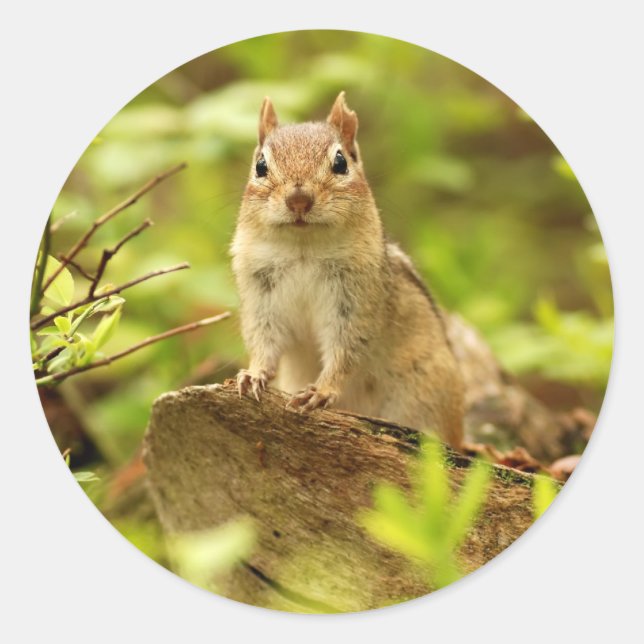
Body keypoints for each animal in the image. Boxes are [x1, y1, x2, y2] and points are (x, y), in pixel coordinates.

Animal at [231, 92, 464, 449]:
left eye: (340, 162)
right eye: (260, 166)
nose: (299, 199)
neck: (304, 250)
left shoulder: (356, 302)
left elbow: (347, 350)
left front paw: (321, 391)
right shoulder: (261, 297)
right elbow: (264, 341)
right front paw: (253, 374)